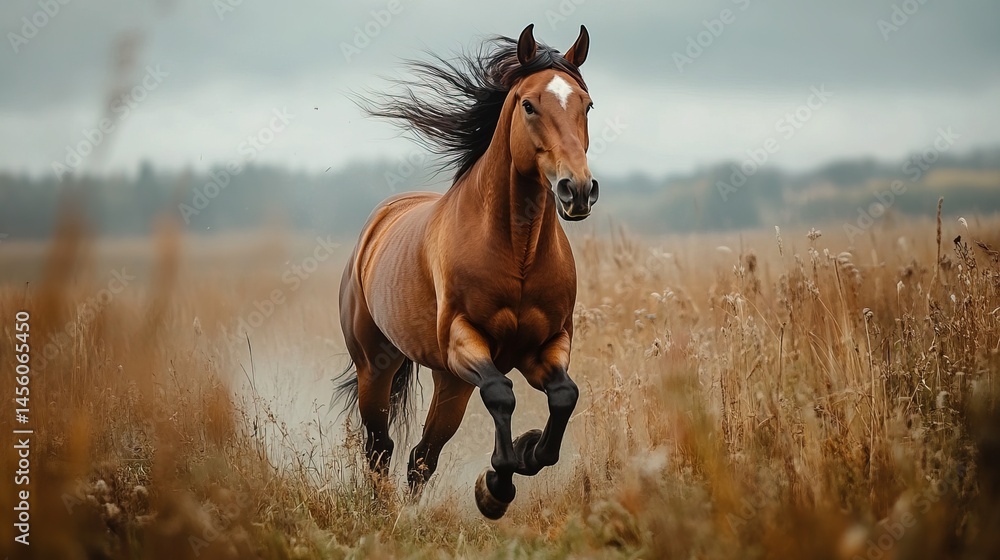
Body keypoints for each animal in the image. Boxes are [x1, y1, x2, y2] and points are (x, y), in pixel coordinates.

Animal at [334, 23, 598, 519]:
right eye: (529, 105)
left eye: (587, 105)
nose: (577, 190)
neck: (517, 254)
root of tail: (378, 223)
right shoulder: (466, 340)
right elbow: (501, 393)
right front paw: (495, 487)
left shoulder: (548, 344)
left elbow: (563, 397)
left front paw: (526, 452)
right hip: (376, 366)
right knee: (381, 446)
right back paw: (385, 513)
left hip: (449, 381)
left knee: (422, 455)